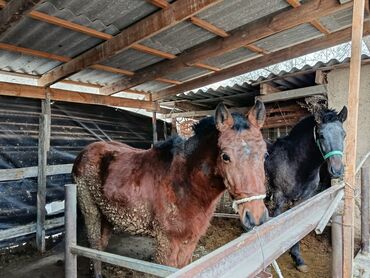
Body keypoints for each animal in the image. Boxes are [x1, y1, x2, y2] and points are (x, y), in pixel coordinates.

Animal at [73, 102, 268, 278]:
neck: (185, 183)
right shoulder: (166, 243)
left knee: (101, 246)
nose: (256, 217)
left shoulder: (190, 241)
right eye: (225, 156)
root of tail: (84, 152)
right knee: (94, 244)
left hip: (107, 214)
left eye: (265, 154)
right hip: (90, 210)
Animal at [266, 106, 346, 272]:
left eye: (344, 134)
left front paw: (298, 258)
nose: (336, 170)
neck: (295, 162)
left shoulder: (303, 199)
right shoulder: (279, 198)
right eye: (321, 135)